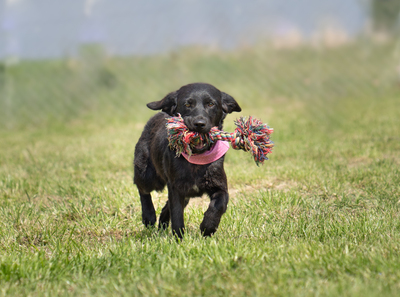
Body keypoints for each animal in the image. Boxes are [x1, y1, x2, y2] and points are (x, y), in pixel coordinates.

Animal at [134, 82, 241, 238]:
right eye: (188, 104)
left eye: (211, 104)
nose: (199, 123)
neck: (196, 158)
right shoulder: (176, 188)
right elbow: (177, 215)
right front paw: (179, 239)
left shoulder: (219, 185)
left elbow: (218, 205)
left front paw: (208, 227)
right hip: (149, 175)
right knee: (142, 188)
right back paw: (149, 216)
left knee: (165, 208)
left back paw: (162, 226)